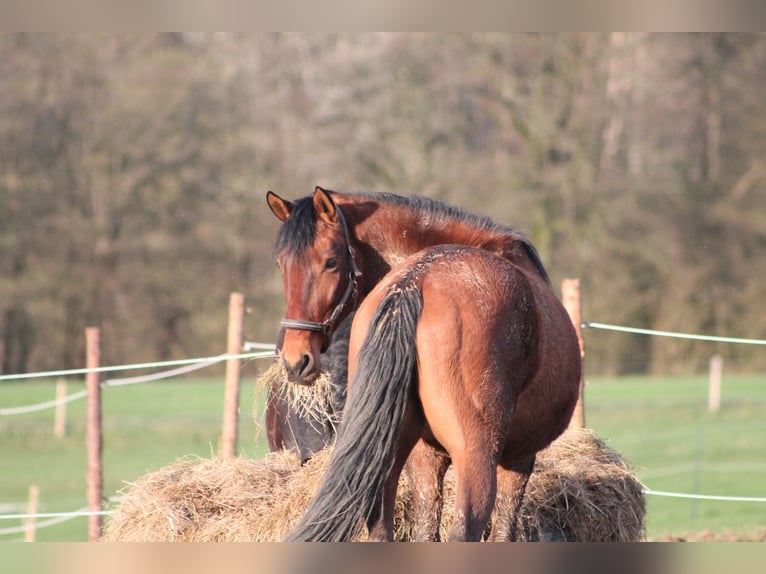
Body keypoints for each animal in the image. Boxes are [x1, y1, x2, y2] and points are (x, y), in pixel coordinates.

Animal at [268, 187, 580, 544]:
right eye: (282, 265)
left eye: (330, 261)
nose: (295, 359)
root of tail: (413, 282)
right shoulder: (518, 459)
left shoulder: (425, 458)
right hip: (476, 461)